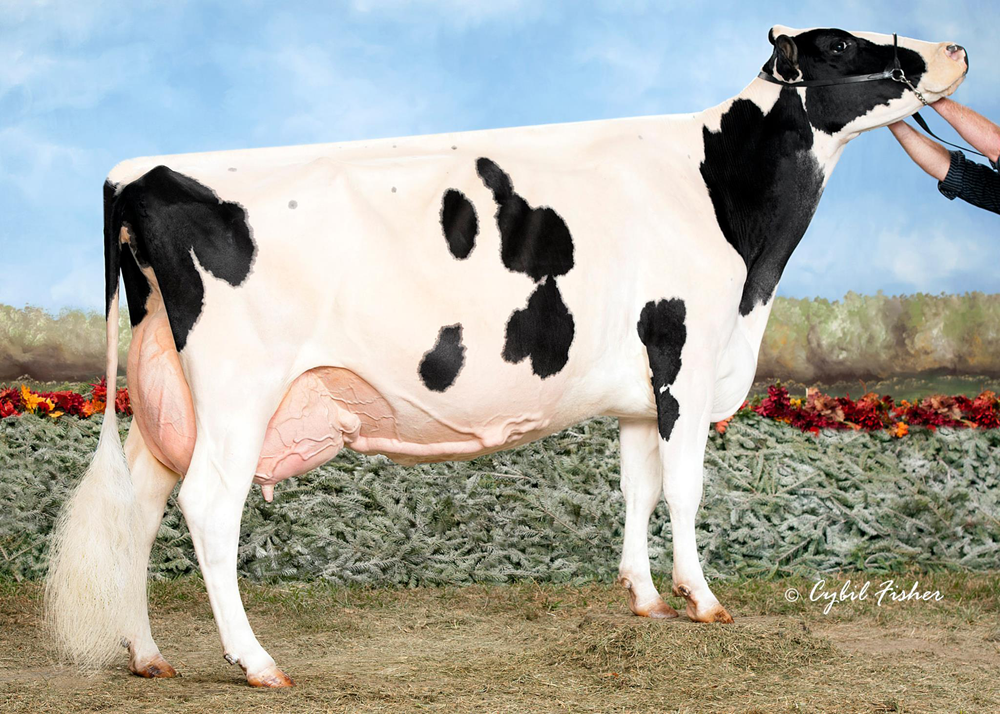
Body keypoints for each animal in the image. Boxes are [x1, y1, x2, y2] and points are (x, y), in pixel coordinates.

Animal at [45, 26, 969, 687]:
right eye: (843, 46)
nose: (956, 49)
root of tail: (138, 174)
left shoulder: (639, 390)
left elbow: (638, 488)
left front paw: (645, 599)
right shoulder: (683, 356)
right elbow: (685, 489)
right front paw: (702, 600)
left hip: (167, 397)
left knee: (141, 506)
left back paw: (146, 654)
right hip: (239, 391)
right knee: (207, 506)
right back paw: (256, 661)